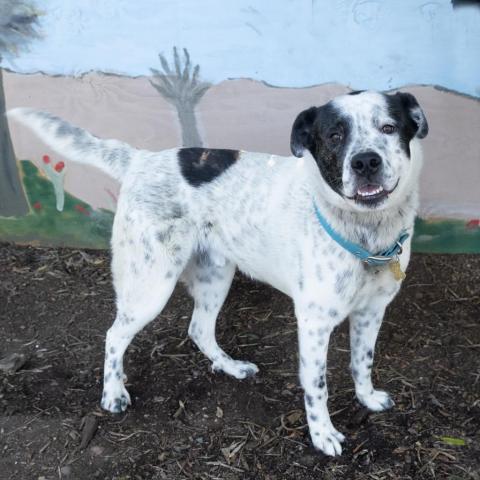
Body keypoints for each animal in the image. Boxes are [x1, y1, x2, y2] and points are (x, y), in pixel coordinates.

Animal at [8, 91, 428, 458]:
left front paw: (367, 398)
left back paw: (230, 366)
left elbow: (362, 361)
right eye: (334, 136)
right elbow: (317, 387)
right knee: (114, 334)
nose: (366, 162)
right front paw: (322, 435)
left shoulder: (372, 310)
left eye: (389, 127)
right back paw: (113, 393)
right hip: (150, 285)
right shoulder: (313, 322)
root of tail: (140, 159)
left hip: (216, 275)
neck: (367, 233)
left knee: (198, 329)